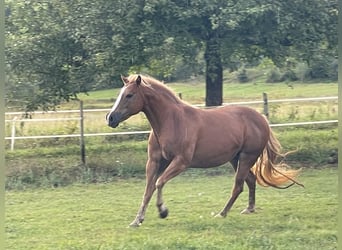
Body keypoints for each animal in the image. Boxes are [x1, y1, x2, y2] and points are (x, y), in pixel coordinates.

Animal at [105, 73, 304, 227]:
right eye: (120, 94)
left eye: (129, 95)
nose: (110, 118)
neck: (171, 121)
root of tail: (262, 119)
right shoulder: (155, 162)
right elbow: (148, 190)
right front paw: (137, 221)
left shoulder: (180, 162)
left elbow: (159, 183)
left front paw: (163, 211)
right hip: (236, 159)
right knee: (250, 180)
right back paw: (248, 209)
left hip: (247, 157)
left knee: (238, 186)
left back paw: (222, 213)